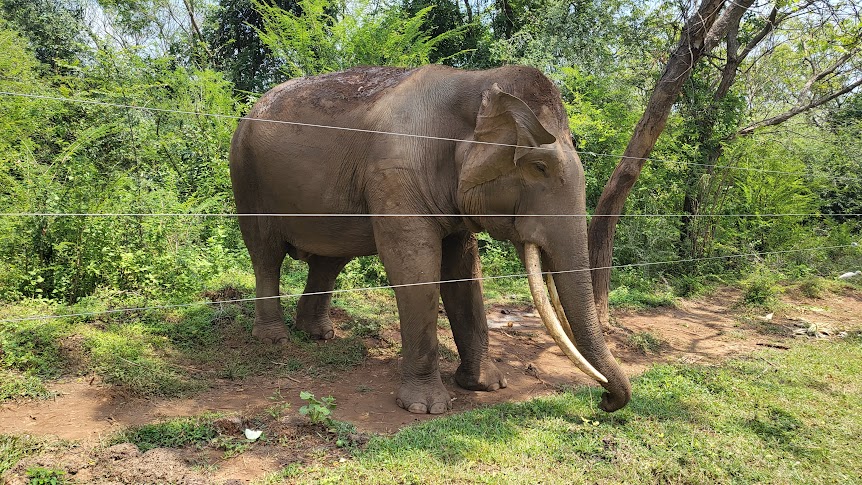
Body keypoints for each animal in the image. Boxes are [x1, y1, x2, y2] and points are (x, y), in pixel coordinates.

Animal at [229, 65, 631, 414]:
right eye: (539, 167)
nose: (605, 401)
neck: (475, 84)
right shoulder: (395, 173)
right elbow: (416, 271)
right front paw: (426, 407)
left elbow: (465, 275)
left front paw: (488, 385)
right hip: (245, 176)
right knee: (265, 254)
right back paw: (274, 338)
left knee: (329, 259)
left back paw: (318, 334)